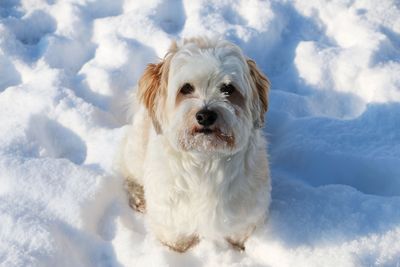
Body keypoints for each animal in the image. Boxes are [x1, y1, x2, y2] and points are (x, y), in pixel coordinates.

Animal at [117, 37, 270, 253]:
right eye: (186, 88)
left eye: (228, 89)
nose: (205, 115)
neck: (206, 158)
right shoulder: (169, 214)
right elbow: (175, 238)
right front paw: (179, 253)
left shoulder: (247, 213)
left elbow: (238, 233)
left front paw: (237, 250)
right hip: (136, 151)